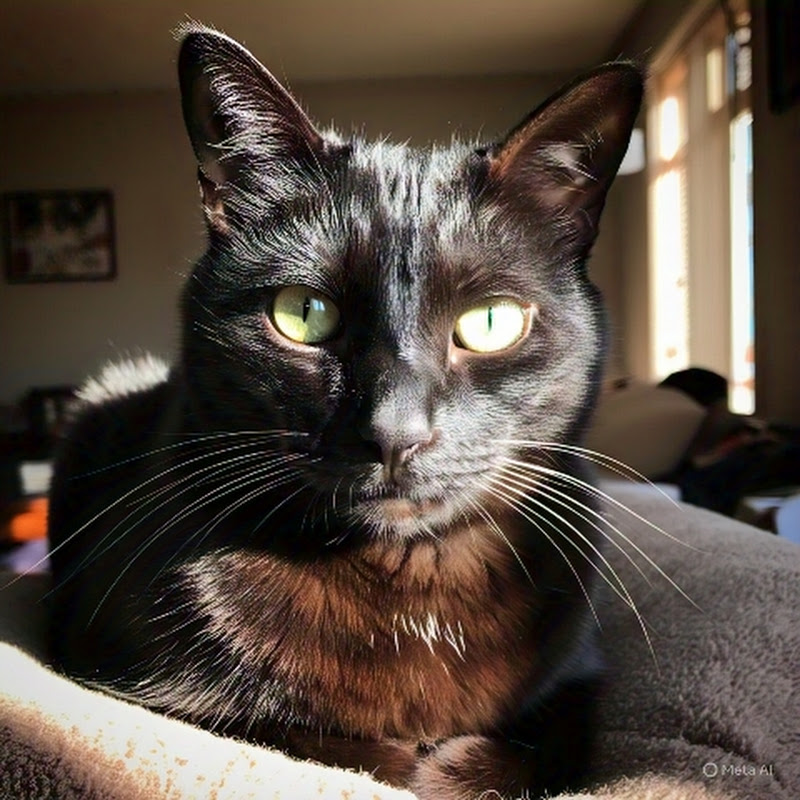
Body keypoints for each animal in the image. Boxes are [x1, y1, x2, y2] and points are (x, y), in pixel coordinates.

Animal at [47, 24, 643, 800]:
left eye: (490, 322)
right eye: (303, 314)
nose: (395, 433)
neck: (411, 586)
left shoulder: (579, 677)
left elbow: (556, 741)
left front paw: (456, 769)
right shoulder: (122, 675)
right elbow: (337, 750)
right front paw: (415, 764)